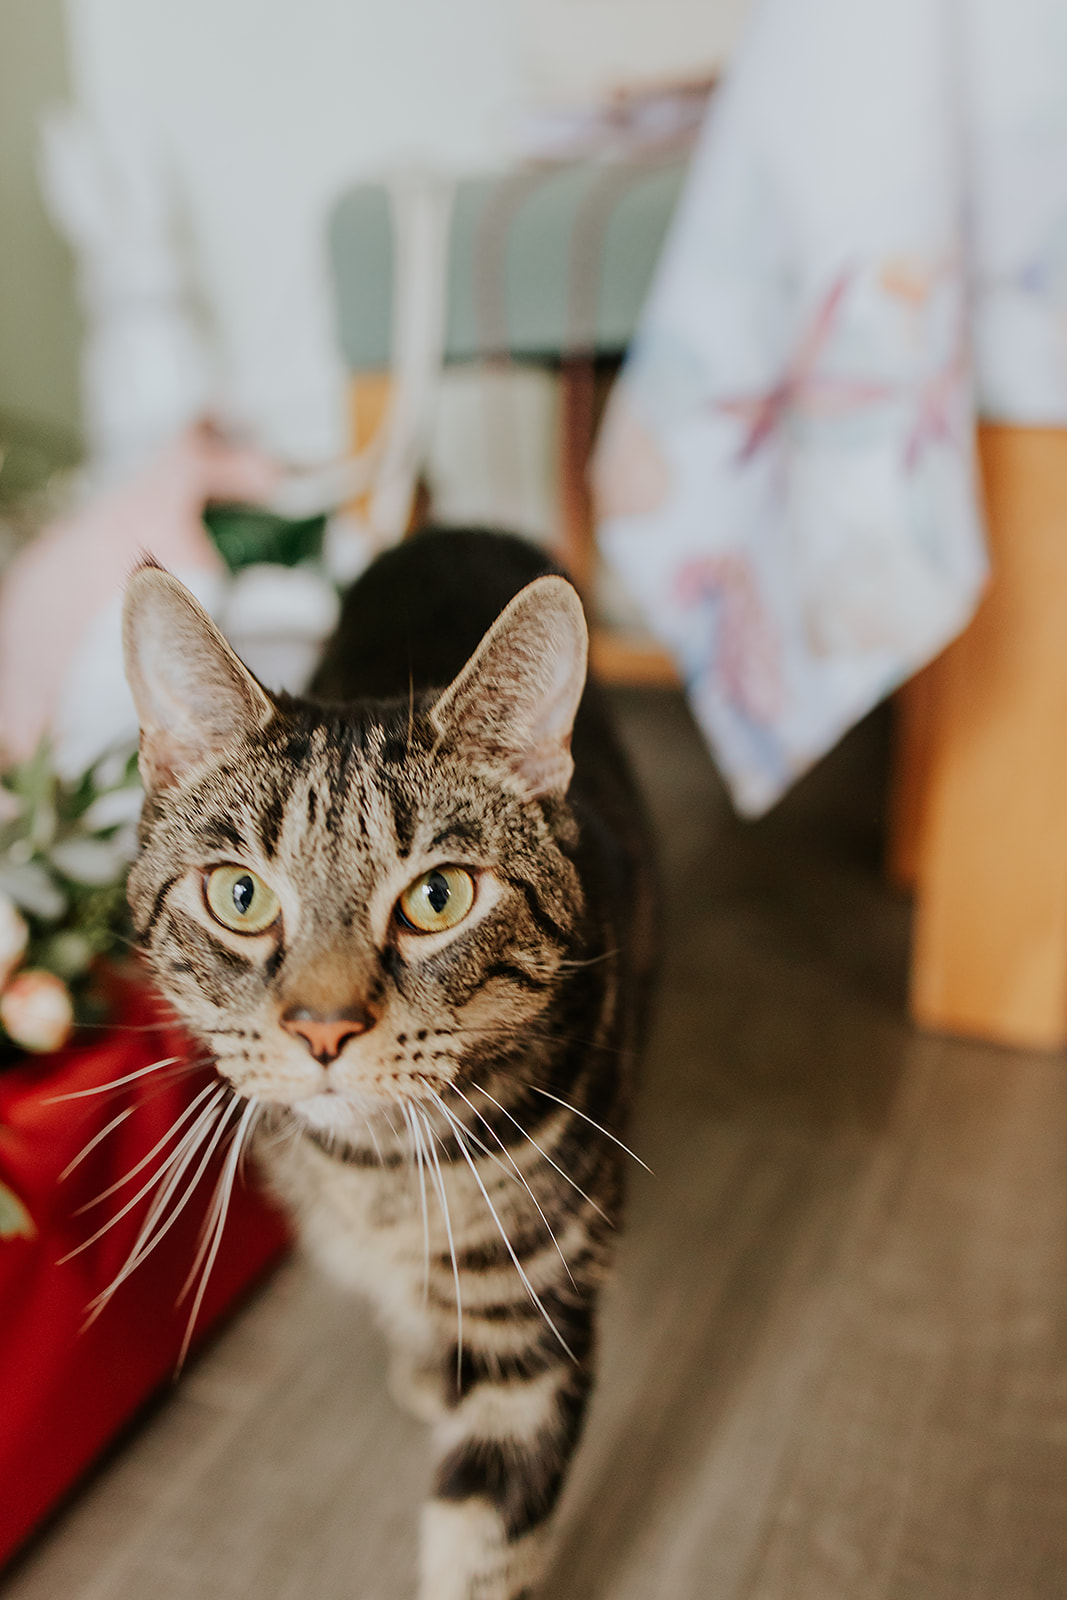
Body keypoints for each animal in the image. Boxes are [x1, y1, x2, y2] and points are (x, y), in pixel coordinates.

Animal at [120, 531, 655, 1593]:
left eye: (438, 896)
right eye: (239, 895)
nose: (323, 1027)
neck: (377, 1176)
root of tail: (459, 527)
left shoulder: (530, 1320)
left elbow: (484, 1543)